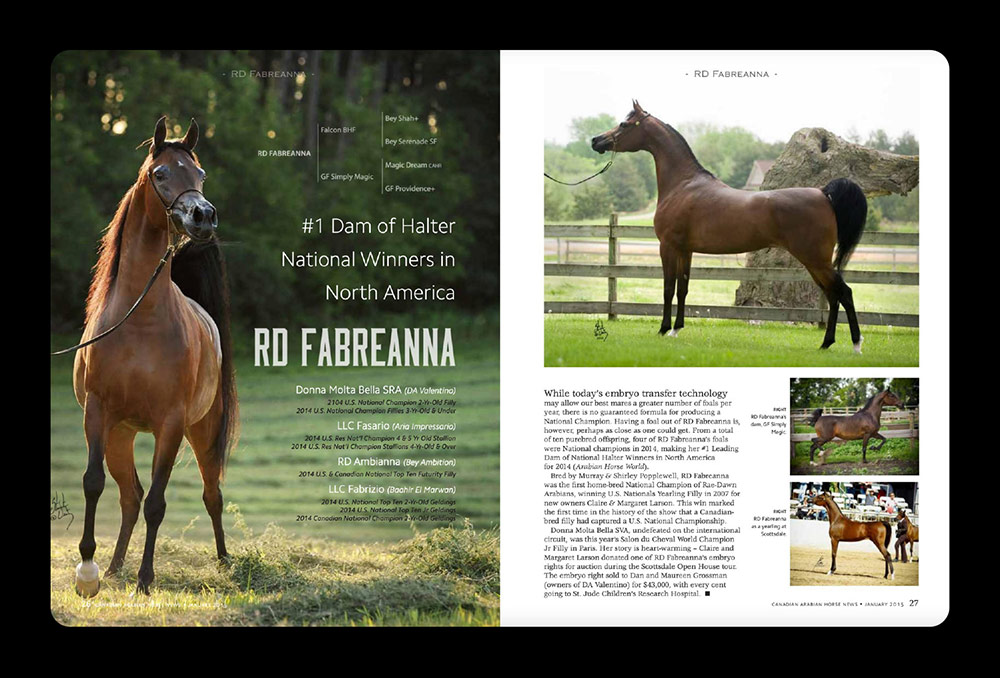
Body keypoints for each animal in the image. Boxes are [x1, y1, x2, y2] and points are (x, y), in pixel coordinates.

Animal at [68, 117, 238, 597]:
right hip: (121, 434)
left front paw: (145, 578)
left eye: (200, 174)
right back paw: (112, 567)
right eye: (160, 174)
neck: (139, 321)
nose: (203, 216)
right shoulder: (98, 413)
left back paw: (224, 561)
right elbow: (93, 483)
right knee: (130, 494)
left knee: (211, 494)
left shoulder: (171, 424)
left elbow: (159, 503)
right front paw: (88, 571)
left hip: (202, 432)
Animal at [591, 101, 869, 352]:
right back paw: (827, 343)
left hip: (815, 260)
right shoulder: (685, 250)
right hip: (814, 262)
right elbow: (683, 289)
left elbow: (668, 289)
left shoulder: (667, 246)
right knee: (833, 295)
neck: (683, 184)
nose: (596, 141)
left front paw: (663, 329)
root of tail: (823, 193)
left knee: (844, 293)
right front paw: (676, 329)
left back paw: (854, 343)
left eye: (624, 124)